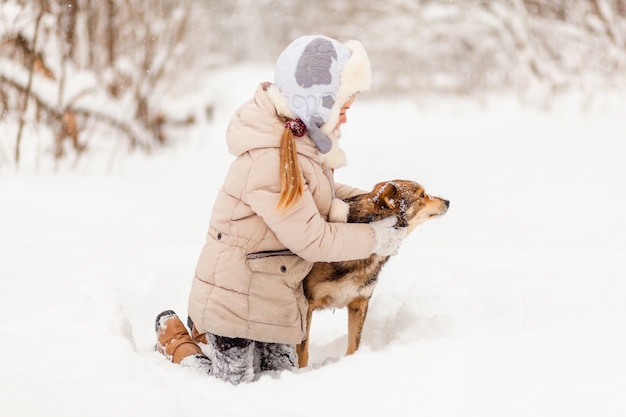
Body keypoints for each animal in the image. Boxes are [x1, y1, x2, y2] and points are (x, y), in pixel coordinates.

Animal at [294, 180, 446, 368]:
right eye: (422, 195)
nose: (448, 202)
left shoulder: (359, 303)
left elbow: (354, 345)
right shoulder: (306, 306)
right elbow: (303, 352)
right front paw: (301, 372)